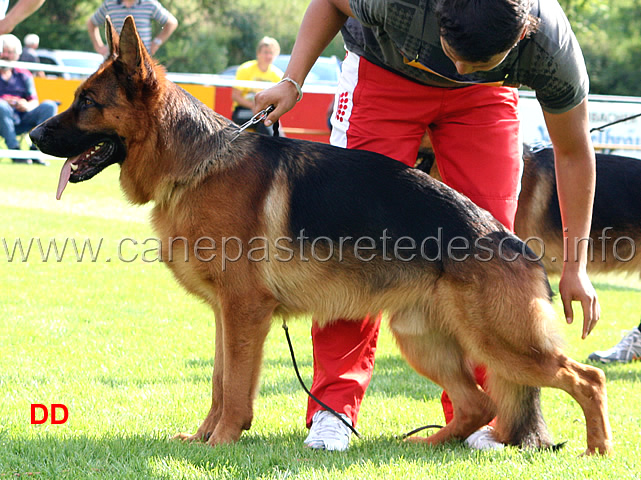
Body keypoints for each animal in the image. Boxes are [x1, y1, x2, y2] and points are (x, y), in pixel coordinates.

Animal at [28, 17, 608, 454]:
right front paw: (201, 439)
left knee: (585, 379)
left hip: (501, 343)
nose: (32, 134)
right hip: (424, 339)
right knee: (481, 404)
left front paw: (221, 443)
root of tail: (513, 243)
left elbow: (234, 389)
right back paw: (423, 445)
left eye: (87, 102)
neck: (197, 164)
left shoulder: (245, 312)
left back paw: (597, 451)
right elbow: (218, 382)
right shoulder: (225, 314)